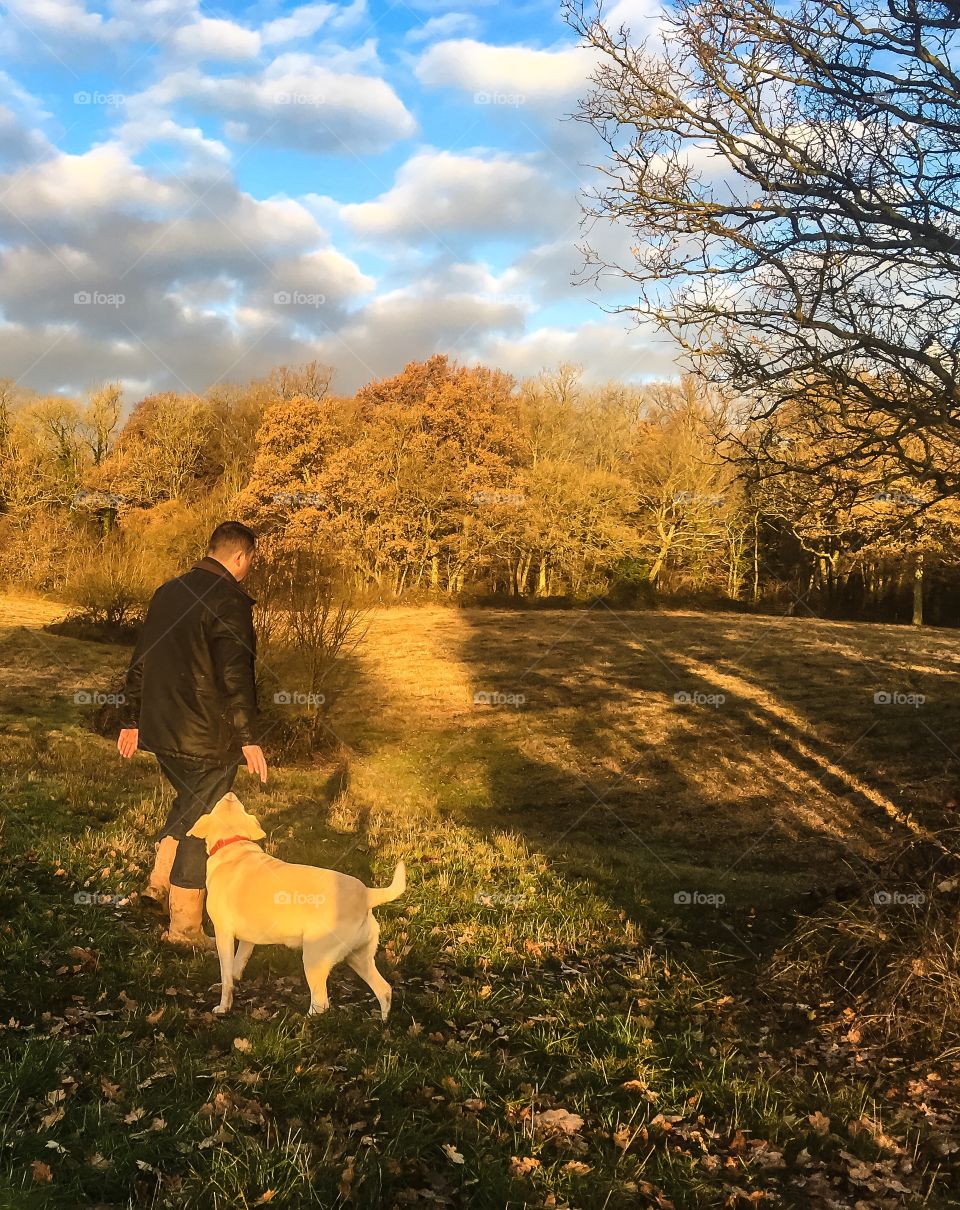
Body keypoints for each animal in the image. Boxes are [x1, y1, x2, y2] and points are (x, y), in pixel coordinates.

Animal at [186, 793, 404, 1021]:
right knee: (384, 989)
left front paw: (223, 1007)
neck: (233, 844)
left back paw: (300, 1020)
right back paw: (382, 1021)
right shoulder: (248, 940)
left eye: (219, 803)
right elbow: (236, 968)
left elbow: (226, 975)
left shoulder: (224, 934)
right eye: (236, 804)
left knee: (321, 1004)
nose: (229, 794)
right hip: (358, 958)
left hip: (315, 958)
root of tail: (366, 894)